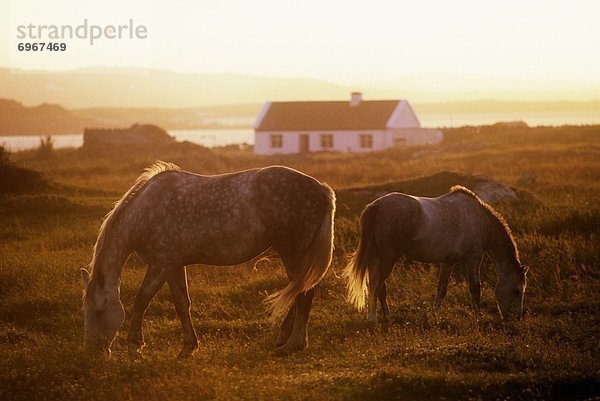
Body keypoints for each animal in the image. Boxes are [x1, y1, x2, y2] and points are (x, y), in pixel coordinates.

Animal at [80, 162, 336, 356]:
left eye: (99, 311)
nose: (93, 351)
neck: (145, 212)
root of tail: (320, 188)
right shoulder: (173, 266)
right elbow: (182, 304)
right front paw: (188, 347)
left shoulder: (160, 265)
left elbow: (142, 300)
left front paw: (135, 347)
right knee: (297, 290)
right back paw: (283, 338)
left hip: (293, 251)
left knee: (303, 293)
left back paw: (293, 345)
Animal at [344, 185, 528, 322]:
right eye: (517, 291)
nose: (517, 318)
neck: (481, 221)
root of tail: (374, 207)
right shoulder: (474, 258)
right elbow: (475, 288)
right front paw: (478, 316)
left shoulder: (448, 262)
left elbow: (442, 289)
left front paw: (435, 314)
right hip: (388, 257)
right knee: (376, 284)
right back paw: (373, 319)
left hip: (378, 257)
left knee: (380, 286)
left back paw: (387, 316)